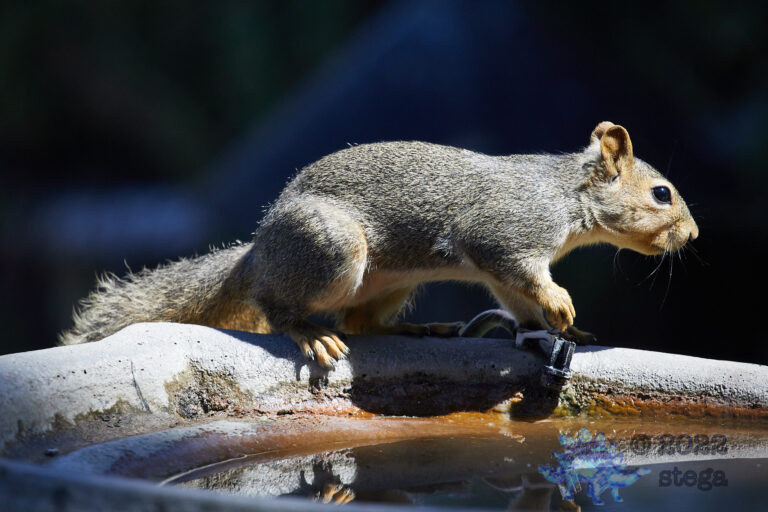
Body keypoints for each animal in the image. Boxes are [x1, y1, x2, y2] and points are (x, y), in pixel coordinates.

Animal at [60, 121, 699, 368]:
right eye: (662, 194)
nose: (693, 235)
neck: (566, 195)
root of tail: (260, 247)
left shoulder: (502, 270)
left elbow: (518, 303)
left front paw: (560, 330)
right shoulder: (508, 231)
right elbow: (523, 271)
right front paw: (561, 304)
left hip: (395, 281)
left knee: (363, 323)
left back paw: (417, 330)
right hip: (333, 248)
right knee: (279, 302)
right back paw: (309, 333)